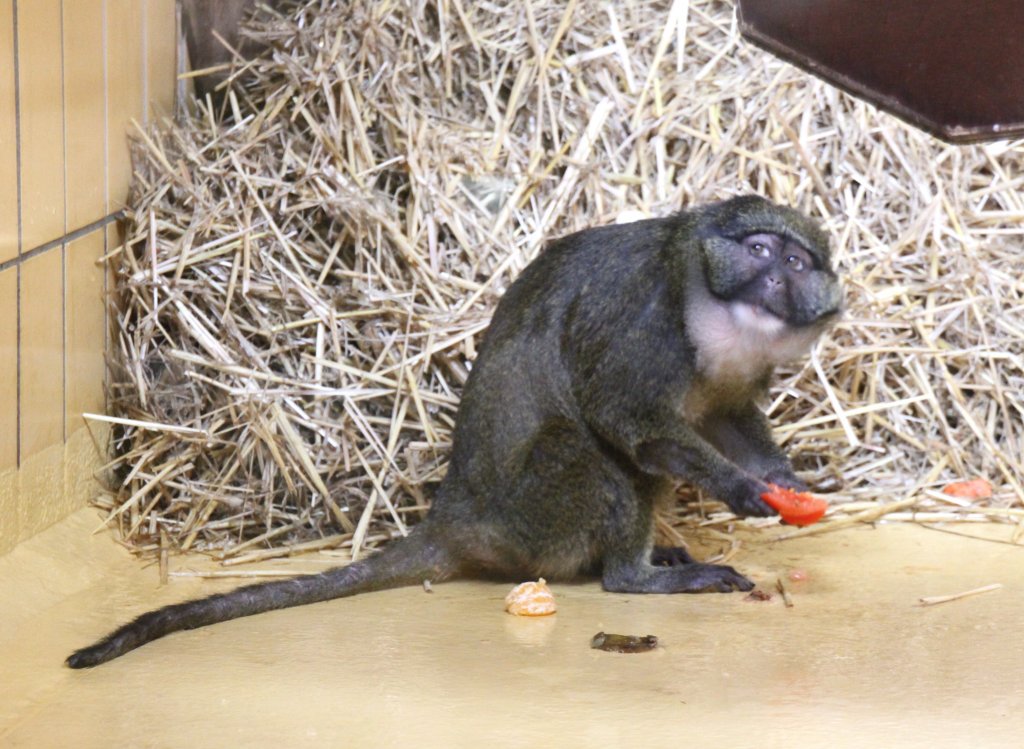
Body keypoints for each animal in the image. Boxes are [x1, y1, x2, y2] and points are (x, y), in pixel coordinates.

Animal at [66, 193, 839, 668]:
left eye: (797, 261)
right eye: (759, 249)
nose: (775, 279)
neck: (708, 309)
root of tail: (457, 516)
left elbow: (726, 417)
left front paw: (784, 482)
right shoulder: (642, 319)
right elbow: (628, 419)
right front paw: (740, 489)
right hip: (539, 514)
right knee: (596, 455)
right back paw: (637, 574)